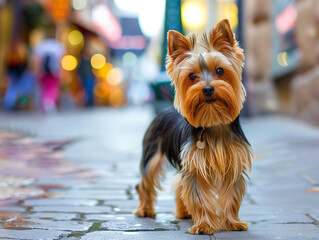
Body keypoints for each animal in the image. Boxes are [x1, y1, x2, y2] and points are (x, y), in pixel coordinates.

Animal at [136, 18, 255, 234]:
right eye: (192, 76)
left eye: (220, 70)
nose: (207, 89)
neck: (214, 124)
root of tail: (166, 108)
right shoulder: (196, 167)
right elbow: (198, 196)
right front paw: (204, 225)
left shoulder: (233, 164)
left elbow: (232, 196)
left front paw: (232, 223)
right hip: (152, 153)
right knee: (145, 182)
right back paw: (144, 210)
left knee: (178, 186)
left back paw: (184, 213)